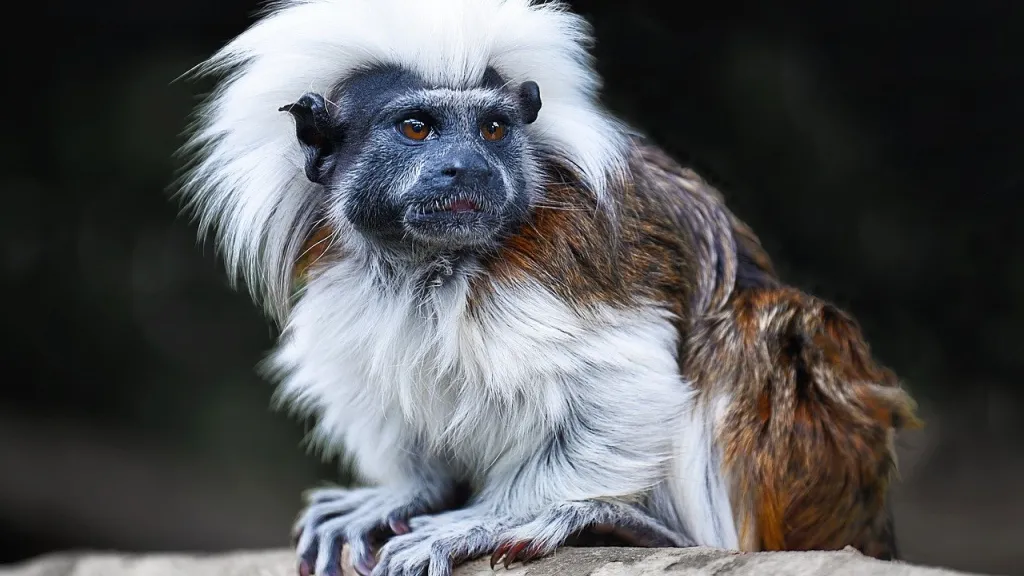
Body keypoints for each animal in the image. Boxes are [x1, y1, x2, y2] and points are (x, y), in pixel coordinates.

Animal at [177, 1, 921, 575]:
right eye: (417, 127)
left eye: (492, 129)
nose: (466, 167)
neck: (435, 267)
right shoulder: (349, 270)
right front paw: (410, 493)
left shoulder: (567, 260)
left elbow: (625, 387)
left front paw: (491, 519)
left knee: (766, 330)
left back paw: (630, 526)